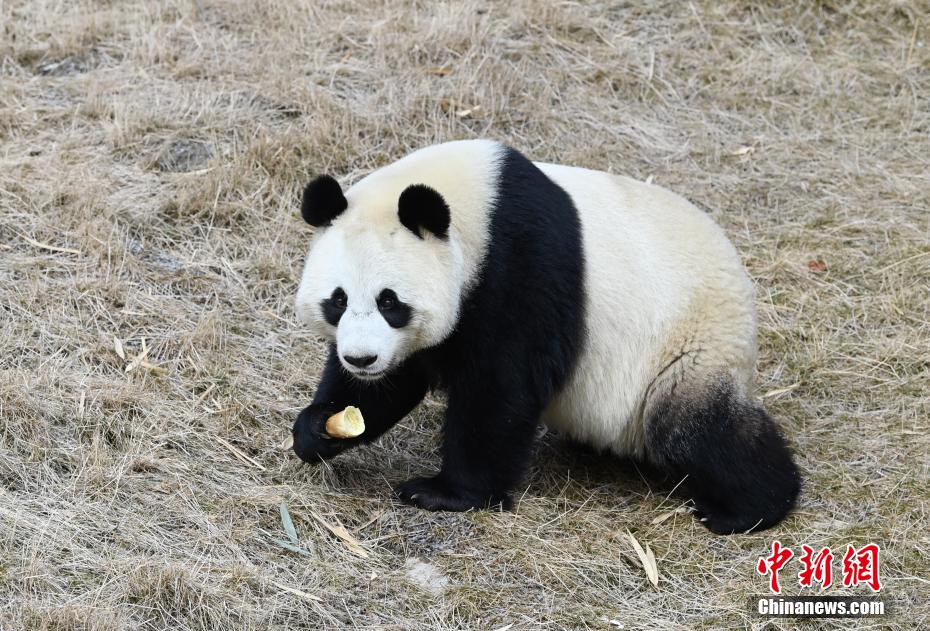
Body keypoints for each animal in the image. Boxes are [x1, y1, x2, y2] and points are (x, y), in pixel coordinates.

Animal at [292, 138, 796, 532]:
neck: (477, 206)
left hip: (688, 344)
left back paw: (749, 508)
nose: (361, 359)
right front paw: (319, 428)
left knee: (694, 428)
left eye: (389, 302)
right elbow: (393, 383)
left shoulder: (520, 266)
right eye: (337, 300)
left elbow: (502, 386)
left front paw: (445, 493)